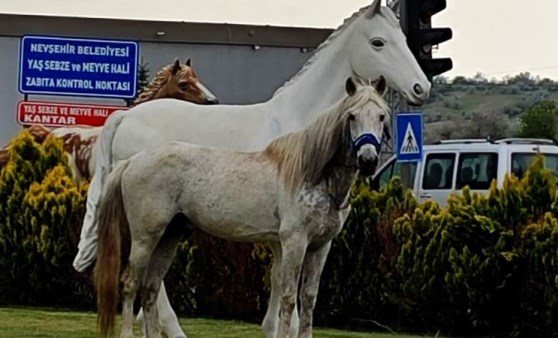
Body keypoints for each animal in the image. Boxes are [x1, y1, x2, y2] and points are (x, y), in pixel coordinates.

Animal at [95, 76, 394, 338]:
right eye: (352, 116)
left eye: (381, 116)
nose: (368, 159)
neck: (313, 173)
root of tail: (133, 161)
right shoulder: (294, 241)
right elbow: (288, 297)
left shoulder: (321, 246)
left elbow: (308, 298)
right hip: (145, 237)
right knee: (131, 284)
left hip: (170, 235)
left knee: (150, 288)